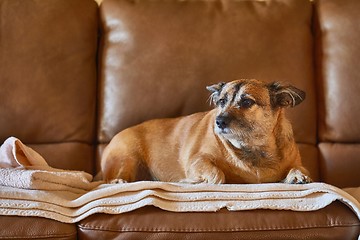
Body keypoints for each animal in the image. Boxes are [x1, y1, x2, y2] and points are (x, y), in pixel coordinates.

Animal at [101, 79, 312, 184]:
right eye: (221, 102)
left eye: (246, 102)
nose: (219, 121)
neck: (252, 148)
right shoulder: (197, 160)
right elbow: (218, 175)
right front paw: (194, 181)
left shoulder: (296, 162)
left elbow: (300, 168)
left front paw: (298, 176)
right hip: (127, 158)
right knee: (109, 179)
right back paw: (118, 182)